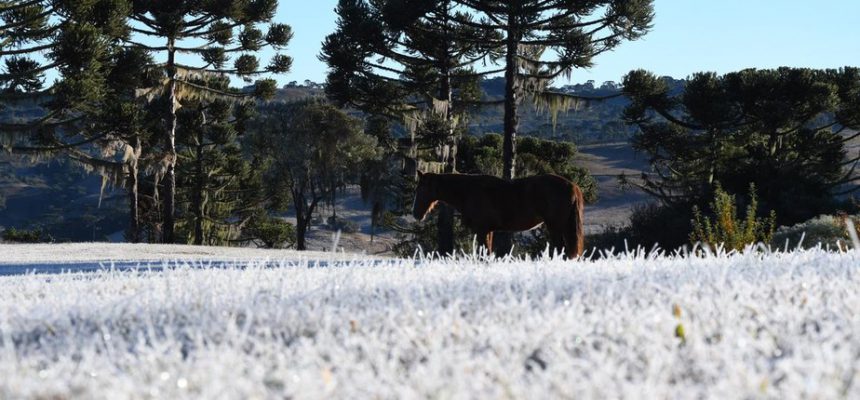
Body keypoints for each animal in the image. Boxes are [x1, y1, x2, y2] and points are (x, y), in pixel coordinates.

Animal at [414, 172, 588, 260]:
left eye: (421, 189)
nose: (416, 214)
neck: (468, 190)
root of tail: (572, 186)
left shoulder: (482, 230)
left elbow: (483, 253)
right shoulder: (488, 231)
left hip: (555, 227)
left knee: (560, 248)